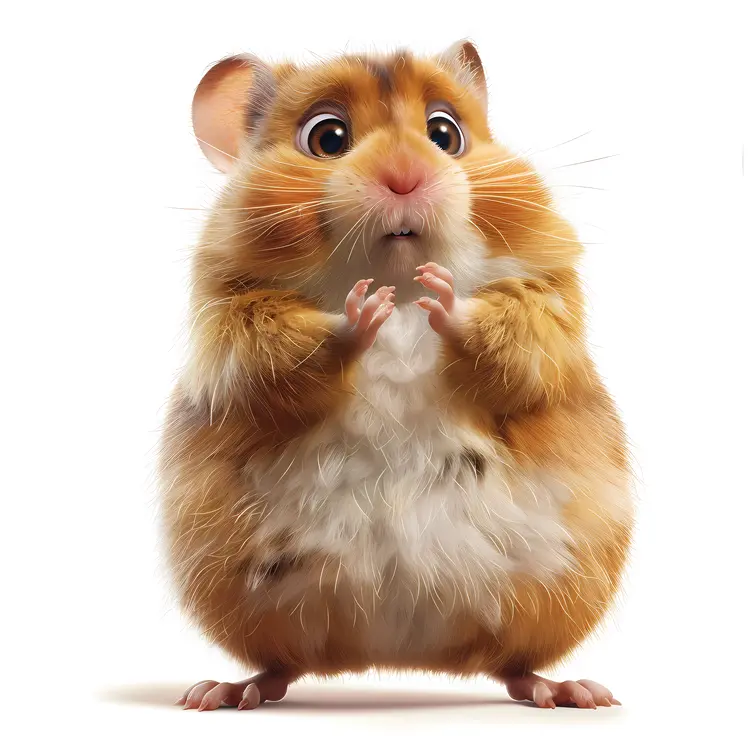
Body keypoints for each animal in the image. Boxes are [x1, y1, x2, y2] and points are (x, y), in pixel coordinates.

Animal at [160, 41, 633, 711]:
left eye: (445, 133)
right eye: (327, 137)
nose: (406, 177)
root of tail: (398, 654)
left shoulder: (546, 303)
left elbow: (510, 333)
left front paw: (438, 297)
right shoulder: (234, 319)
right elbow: (292, 346)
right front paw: (367, 311)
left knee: (514, 666)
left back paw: (577, 692)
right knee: (280, 668)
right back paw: (219, 693)